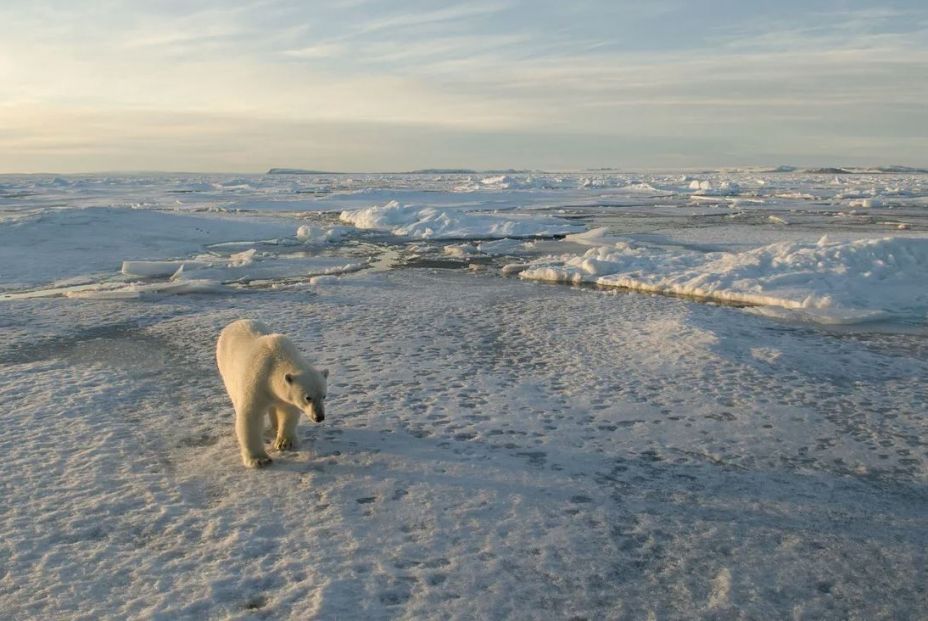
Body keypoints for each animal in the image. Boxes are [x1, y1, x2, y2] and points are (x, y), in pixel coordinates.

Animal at [218, 320, 330, 464]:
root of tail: (235, 322)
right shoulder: (256, 381)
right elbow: (250, 415)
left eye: (324, 396)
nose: (320, 417)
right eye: (308, 397)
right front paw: (259, 459)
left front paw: (285, 443)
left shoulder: (284, 394)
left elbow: (288, 411)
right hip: (227, 371)